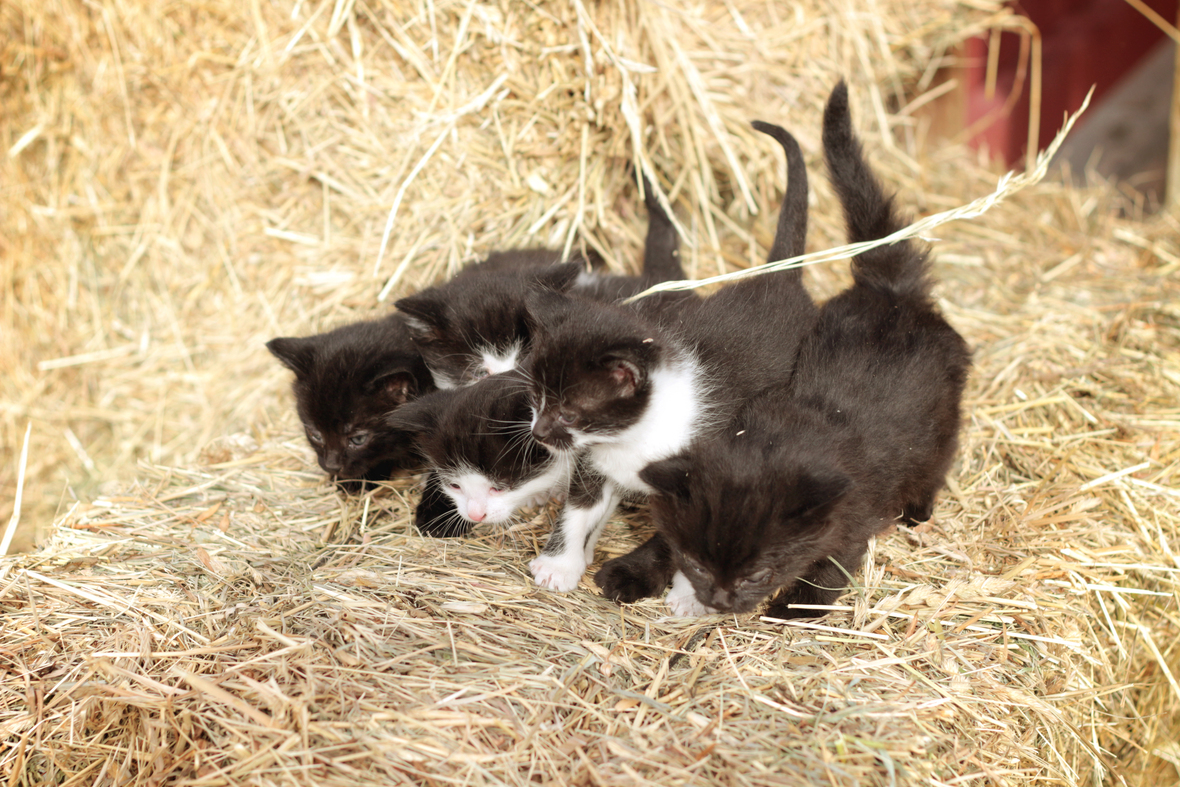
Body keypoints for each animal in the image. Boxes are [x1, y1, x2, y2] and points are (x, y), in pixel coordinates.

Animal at [521, 120, 816, 594]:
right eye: (536, 399)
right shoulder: (596, 463)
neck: (633, 438)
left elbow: (678, 538)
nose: (539, 433)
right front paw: (561, 563)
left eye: (568, 412)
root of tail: (778, 280)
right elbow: (579, 507)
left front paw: (649, 582)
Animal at [641, 81, 972, 622]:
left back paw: (919, 509)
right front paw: (631, 570)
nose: (721, 599)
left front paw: (795, 606)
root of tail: (892, 293)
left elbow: (833, 564)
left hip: (941, 420)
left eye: (756, 574)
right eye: (696, 562)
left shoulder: (854, 516)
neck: (775, 442)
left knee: (938, 459)